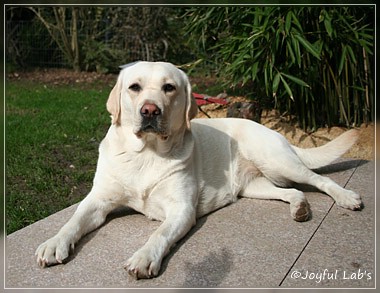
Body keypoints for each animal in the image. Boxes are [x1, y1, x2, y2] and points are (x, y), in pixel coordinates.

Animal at [35, 61, 362, 278]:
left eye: (169, 88)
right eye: (134, 87)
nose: (150, 111)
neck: (147, 153)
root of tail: (269, 128)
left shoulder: (181, 209)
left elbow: (159, 235)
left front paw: (144, 257)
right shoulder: (98, 200)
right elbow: (73, 221)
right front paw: (53, 243)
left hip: (277, 160)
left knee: (317, 179)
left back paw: (346, 197)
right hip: (255, 185)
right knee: (292, 191)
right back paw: (300, 208)